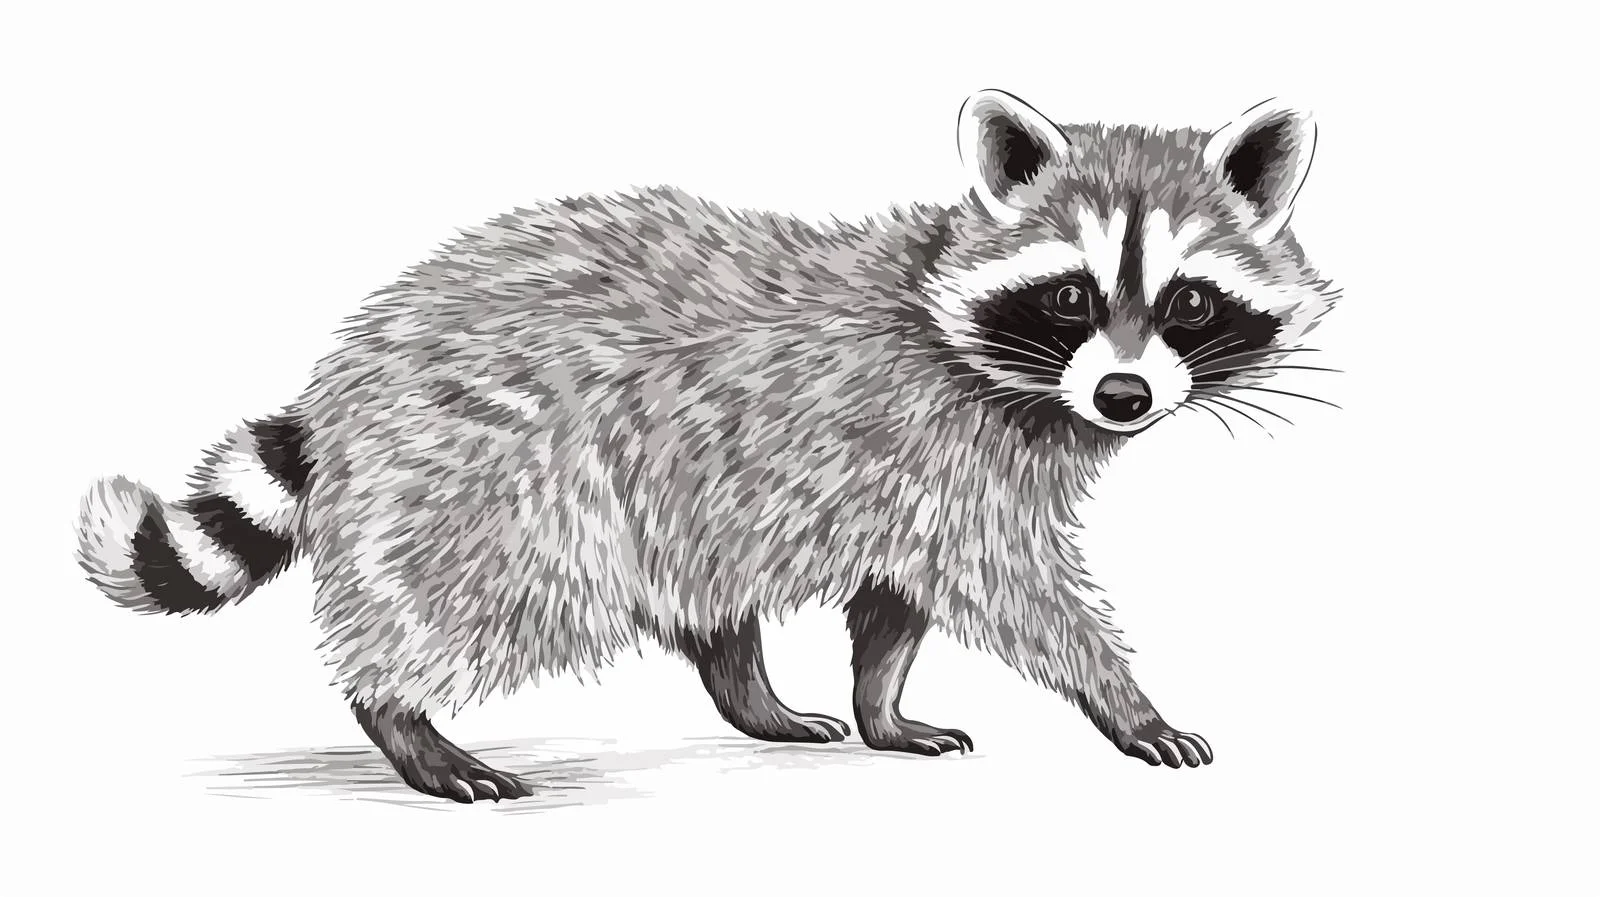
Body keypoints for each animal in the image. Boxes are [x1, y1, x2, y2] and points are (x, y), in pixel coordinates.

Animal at [75, 90, 1337, 803]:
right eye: (1071, 296)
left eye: (1187, 305)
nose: (1124, 395)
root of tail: (354, 371)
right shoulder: (941, 444)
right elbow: (1013, 587)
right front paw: (1127, 704)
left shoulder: (914, 476)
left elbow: (898, 600)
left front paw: (882, 705)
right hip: (500, 470)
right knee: (500, 593)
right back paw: (404, 720)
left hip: (682, 484)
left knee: (702, 590)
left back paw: (750, 693)